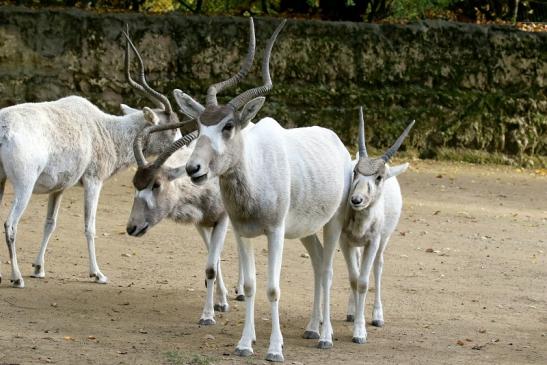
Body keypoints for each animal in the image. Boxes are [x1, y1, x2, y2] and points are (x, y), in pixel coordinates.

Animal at [0, 30, 182, 288]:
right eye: (173, 127)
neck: (105, 129)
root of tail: (4, 128)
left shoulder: (59, 188)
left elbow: (50, 223)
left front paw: (38, 268)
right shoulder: (94, 181)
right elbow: (90, 226)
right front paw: (97, 274)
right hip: (24, 186)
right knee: (11, 225)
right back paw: (16, 278)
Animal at [173, 19, 354, 362]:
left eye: (228, 126)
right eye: (200, 125)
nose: (194, 169)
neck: (255, 175)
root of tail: (336, 141)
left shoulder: (275, 232)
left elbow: (273, 288)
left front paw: (274, 349)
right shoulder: (242, 232)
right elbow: (250, 285)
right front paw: (245, 343)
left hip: (333, 222)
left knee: (327, 270)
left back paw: (325, 336)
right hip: (306, 229)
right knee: (317, 263)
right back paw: (312, 328)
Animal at [340, 106, 414, 344]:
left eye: (378, 177)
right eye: (355, 172)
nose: (356, 200)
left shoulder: (372, 242)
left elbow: (364, 282)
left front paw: (360, 331)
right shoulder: (345, 241)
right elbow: (354, 279)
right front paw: (356, 320)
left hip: (384, 239)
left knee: (378, 266)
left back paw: (377, 316)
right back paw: (351, 311)